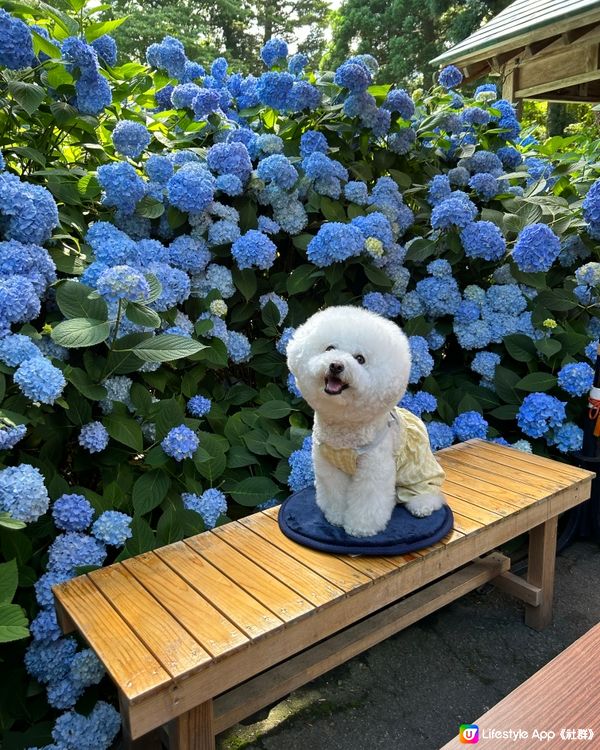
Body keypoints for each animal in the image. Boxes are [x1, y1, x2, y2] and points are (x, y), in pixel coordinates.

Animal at [286, 306, 446, 540]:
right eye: (329, 348)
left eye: (360, 359)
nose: (336, 365)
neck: (344, 425)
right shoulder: (329, 468)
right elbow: (334, 494)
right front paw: (335, 517)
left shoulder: (374, 470)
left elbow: (368, 501)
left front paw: (360, 529)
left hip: (418, 471)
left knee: (429, 492)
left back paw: (422, 505)